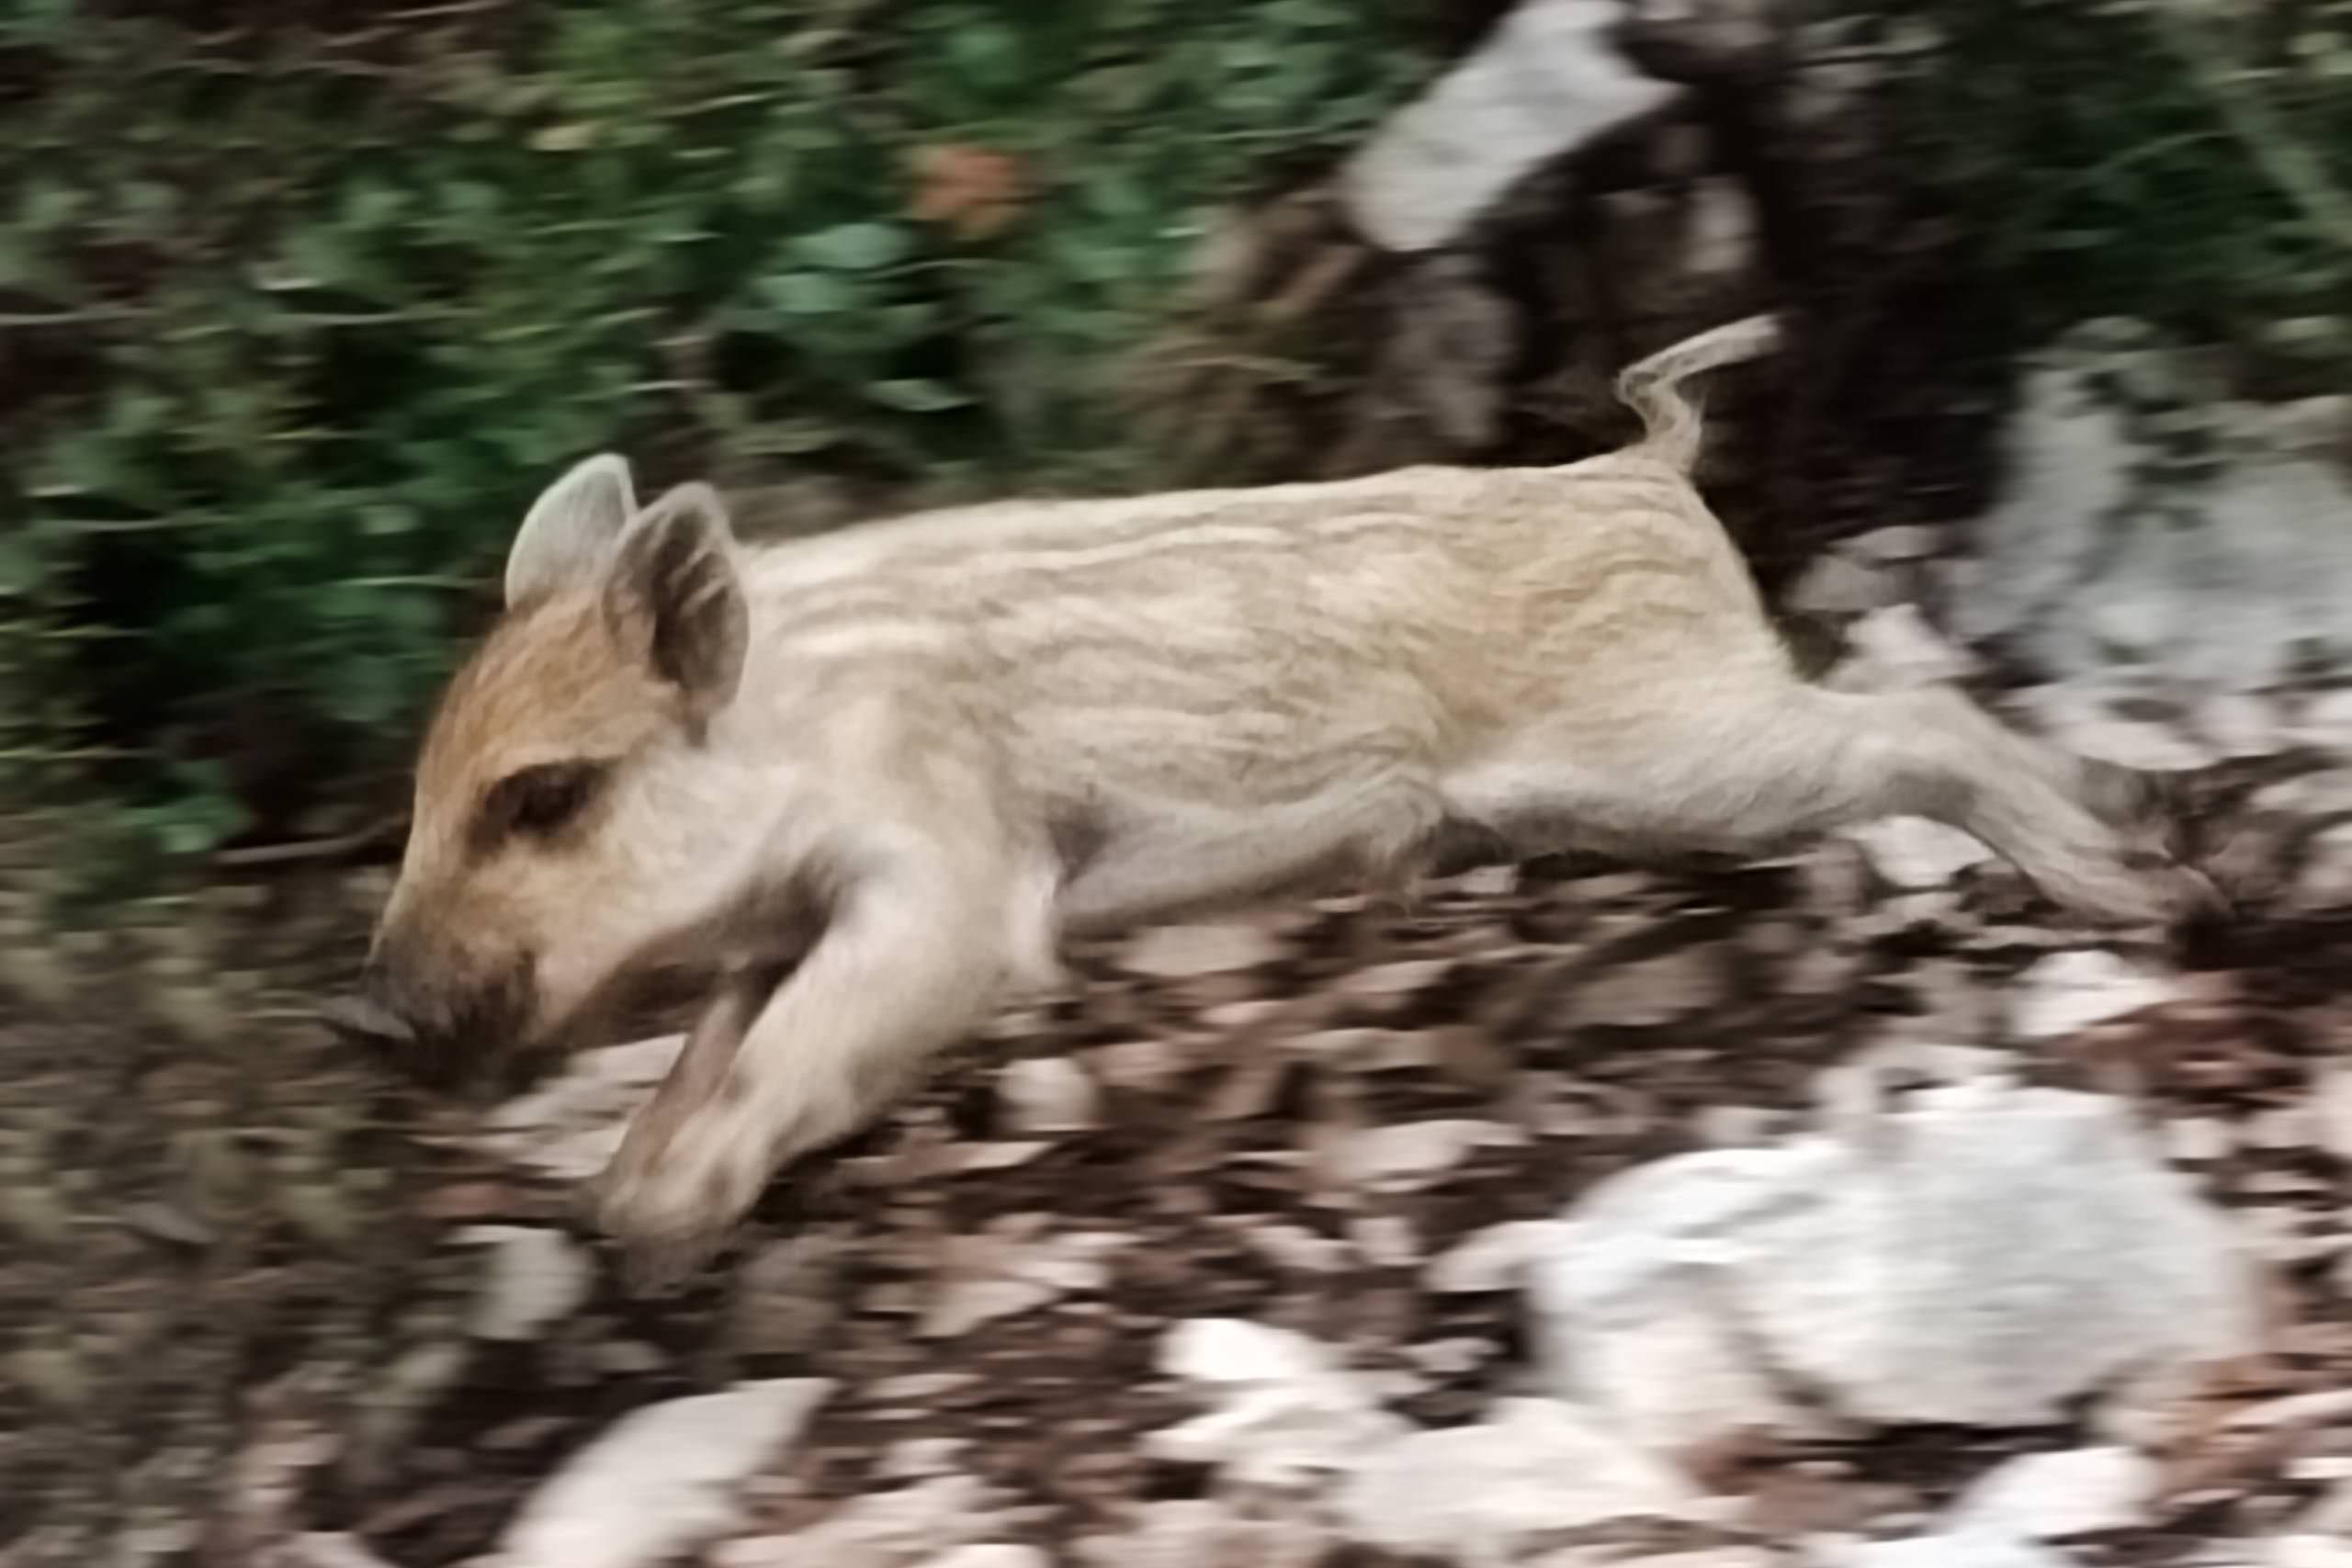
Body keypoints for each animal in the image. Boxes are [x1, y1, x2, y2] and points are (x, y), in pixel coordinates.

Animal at [334, 314, 2216, 1285]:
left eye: (544, 795)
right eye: (427, 789)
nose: (368, 1019)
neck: (804, 721)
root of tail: (1652, 466)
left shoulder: (961, 887)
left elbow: (812, 1041)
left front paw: (654, 1222)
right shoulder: (769, 928)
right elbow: (714, 1050)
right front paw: (619, 1205)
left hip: (1681, 747)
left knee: (1917, 721)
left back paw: (2160, 895)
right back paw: (2155, 826)